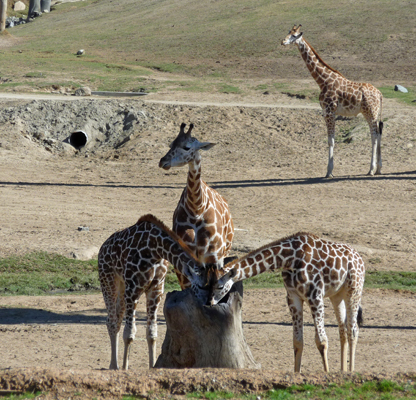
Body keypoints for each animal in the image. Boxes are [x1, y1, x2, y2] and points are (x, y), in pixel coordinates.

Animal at [98, 214, 208, 370]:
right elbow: (129, 334)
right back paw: (114, 365)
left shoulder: (156, 289)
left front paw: (152, 366)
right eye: (202, 286)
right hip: (108, 279)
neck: (156, 249)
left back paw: (114, 364)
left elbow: (151, 333)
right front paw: (125, 368)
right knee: (112, 322)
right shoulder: (133, 289)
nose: (208, 304)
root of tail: (103, 247)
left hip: (122, 285)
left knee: (117, 320)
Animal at [158, 122, 234, 288]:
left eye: (187, 147)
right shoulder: (184, 260)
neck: (196, 209)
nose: (162, 161)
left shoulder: (214, 257)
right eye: (171, 144)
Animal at [206, 233, 366, 374]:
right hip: (337, 295)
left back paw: (351, 371)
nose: (209, 302)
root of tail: (359, 258)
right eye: (207, 284)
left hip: (353, 291)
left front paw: (326, 373)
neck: (290, 258)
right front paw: (297, 373)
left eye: (219, 286)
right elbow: (297, 342)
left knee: (353, 330)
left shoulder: (315, 296)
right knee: (343, 330)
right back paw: (343, 371)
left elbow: (321, 341)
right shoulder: (293, 297)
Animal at [280, 23, 384, 177]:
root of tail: (380, 94)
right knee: (378, 134)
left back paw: (371, 169)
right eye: (288, 32)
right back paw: (378, 169)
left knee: (374, 135)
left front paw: (329, 172)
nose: (283, 41)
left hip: (370, 112)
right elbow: (331, 140)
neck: (322, 81)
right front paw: (329, 170)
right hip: (372, 113)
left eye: (294, 35)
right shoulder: (326, 112)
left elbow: (331, 141)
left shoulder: (330, 111)